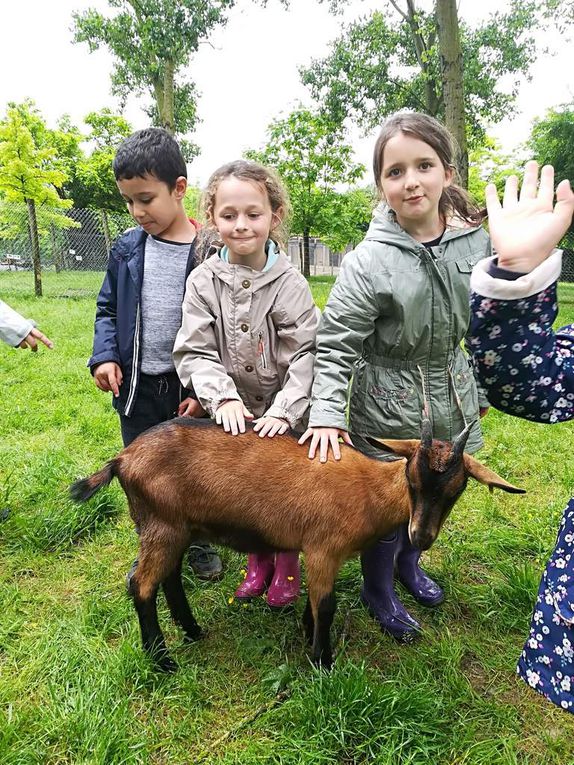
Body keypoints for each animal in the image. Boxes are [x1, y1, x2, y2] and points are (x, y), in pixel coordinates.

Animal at [71, 414, 528, 672]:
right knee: (141, 584)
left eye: (457, 489)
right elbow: (326, 605)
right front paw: (322, 661)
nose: (420, 536)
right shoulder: (323, 548)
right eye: (411, 477)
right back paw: (162, 660)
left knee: (167, 578)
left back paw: (192, 630)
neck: (368, 491)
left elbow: (314, 601)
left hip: (176, 528)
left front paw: (307, 635)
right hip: (162, 526)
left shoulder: (326, 553)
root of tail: (121, 460)